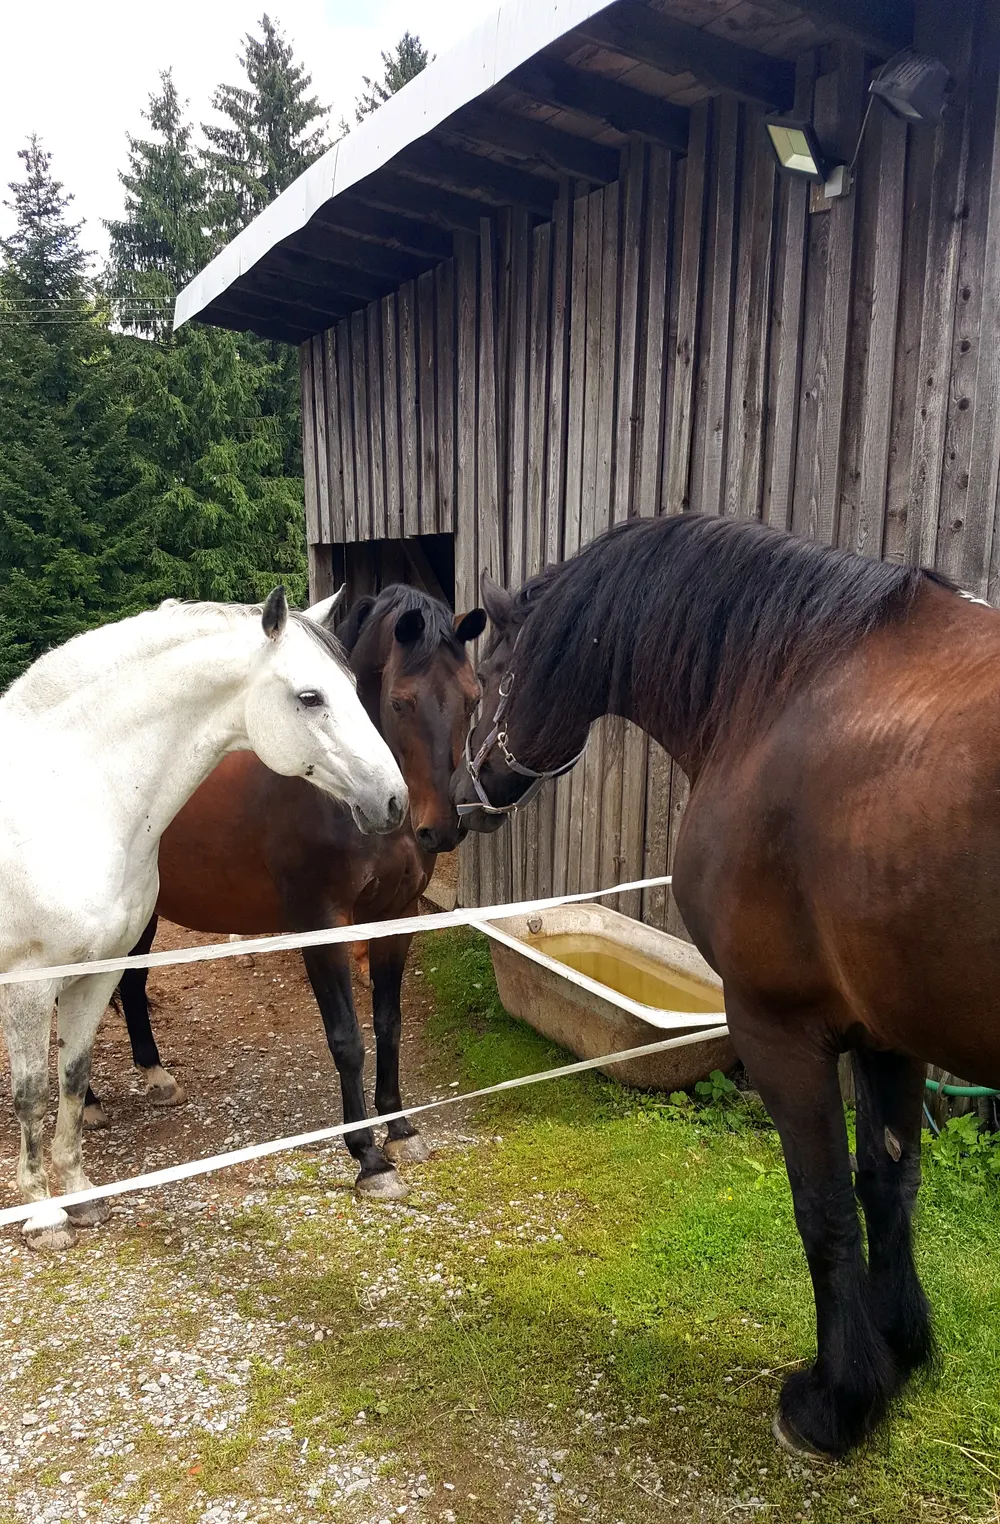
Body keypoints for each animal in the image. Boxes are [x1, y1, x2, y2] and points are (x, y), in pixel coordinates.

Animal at [0, 589, 407, 1251]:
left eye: (352, 685)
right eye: (310, 697)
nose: (393, 801)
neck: (68, 799)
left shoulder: (97, 972)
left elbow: (73, 1076)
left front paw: (80, 1194)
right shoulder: (29, 984)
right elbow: (33, 1093)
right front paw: (41, 1215)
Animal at [83, 586, 486, 1200]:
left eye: (471, 699)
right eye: (401, 703)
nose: (439, 828)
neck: (335, 796)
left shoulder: (396, 916)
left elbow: (389, 1026)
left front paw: (401, 1130)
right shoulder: (320, 923)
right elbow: (347, 1038)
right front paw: (368, 1157)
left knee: (130, 984)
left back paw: (156, 1078)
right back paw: (86, 1105)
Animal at [452, 512, 1000, 1460]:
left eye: (487, 678)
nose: (458, 795)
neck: (784, 686)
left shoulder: (779, 1029)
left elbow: (824, 1210)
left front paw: (834, 1404)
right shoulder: (888, 1035)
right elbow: (888, 1185)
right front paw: (899, 1354)